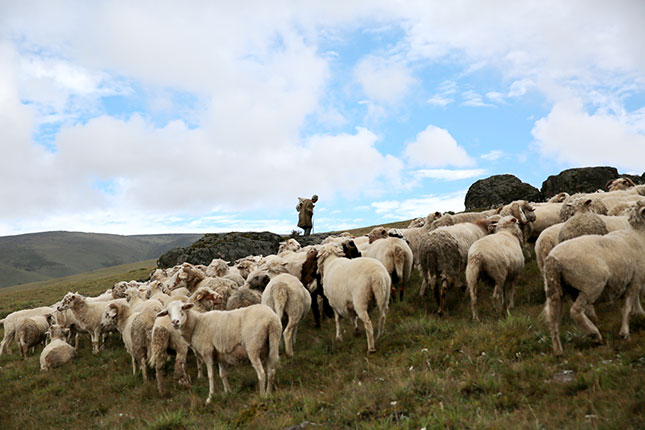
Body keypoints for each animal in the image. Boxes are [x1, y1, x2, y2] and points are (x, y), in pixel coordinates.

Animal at [544, 200, 644, 354]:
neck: (639, 235)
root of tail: (553, 259)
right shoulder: (635, 280)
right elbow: (627, 306)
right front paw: (625, 332)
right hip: (591, 286)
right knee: (576, 311)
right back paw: (594, 334)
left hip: (557, 289)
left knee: (553, 319)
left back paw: (558, 350)